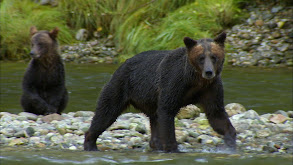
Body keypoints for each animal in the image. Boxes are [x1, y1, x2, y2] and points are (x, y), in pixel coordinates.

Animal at [83, 32, 234, 152]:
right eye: (201, 57)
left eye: (214, 57)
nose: (209, 72)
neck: (195, 80)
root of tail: (122, 64)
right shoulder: (173, 82)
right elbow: (167, 111)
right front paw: (173, 148)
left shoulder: (210, 88)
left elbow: (216, 113)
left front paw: (230, 141)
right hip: (120, 86)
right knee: (106, 112)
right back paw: (91, 144)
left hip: (149, 100)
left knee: (154, 120)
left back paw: (156, 145)